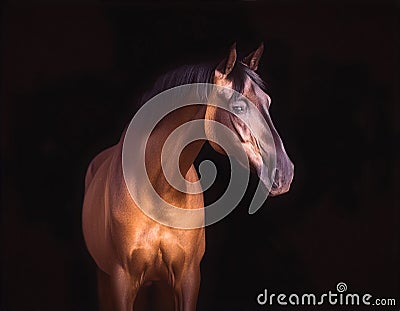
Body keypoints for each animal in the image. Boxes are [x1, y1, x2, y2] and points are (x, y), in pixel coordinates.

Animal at [82, 42, 294, 310]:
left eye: (268, 101)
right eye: (238, 107)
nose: (285, 172)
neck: (158, 190)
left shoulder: (188, 278)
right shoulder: (122, 280)